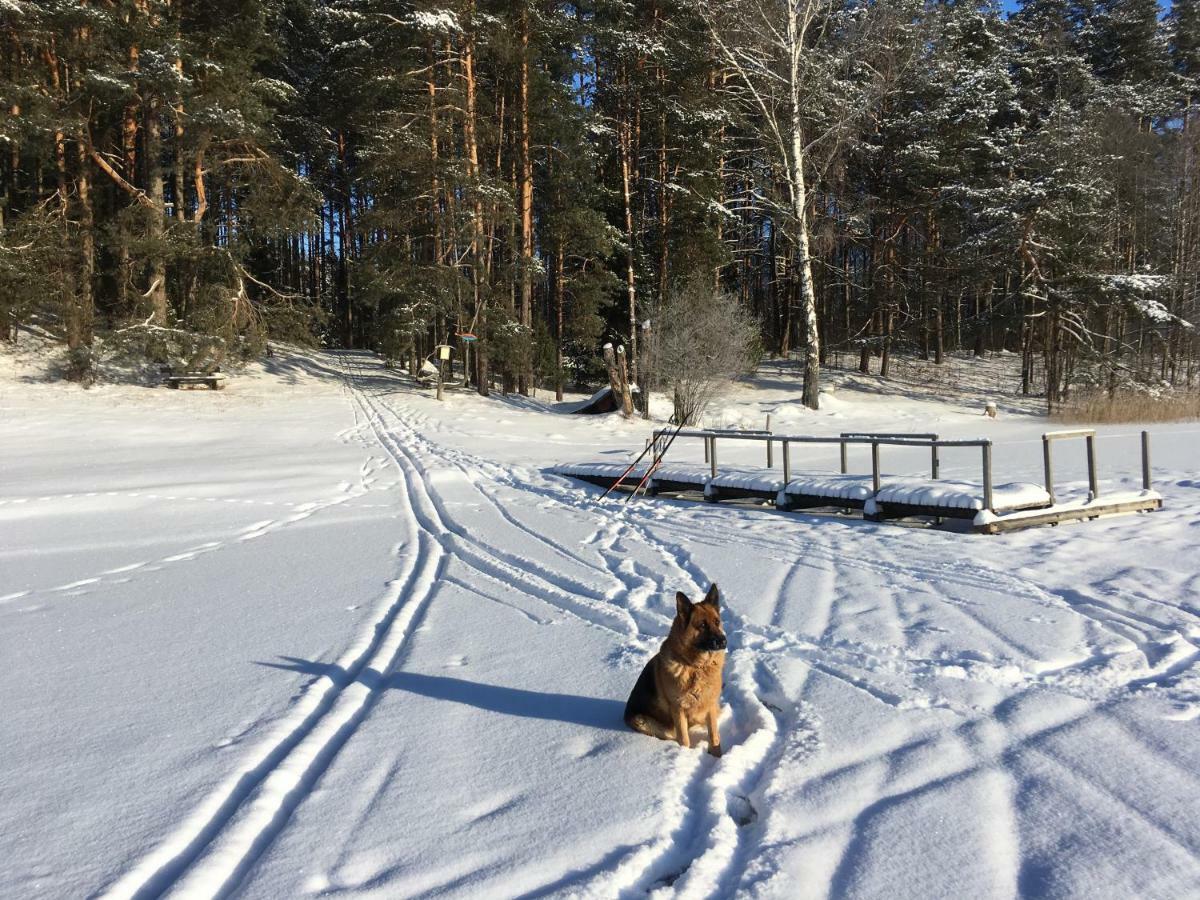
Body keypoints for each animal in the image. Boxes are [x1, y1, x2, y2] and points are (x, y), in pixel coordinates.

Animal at [624, 580, 724, 758]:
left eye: (717, 622)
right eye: (702, 625)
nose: (723, 641)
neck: (696, 667)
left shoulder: (710, 705)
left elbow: (714, 735)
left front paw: (717, 756)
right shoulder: (678, 709)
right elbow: (684, 739)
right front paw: (685, 756)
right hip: (642, 720)